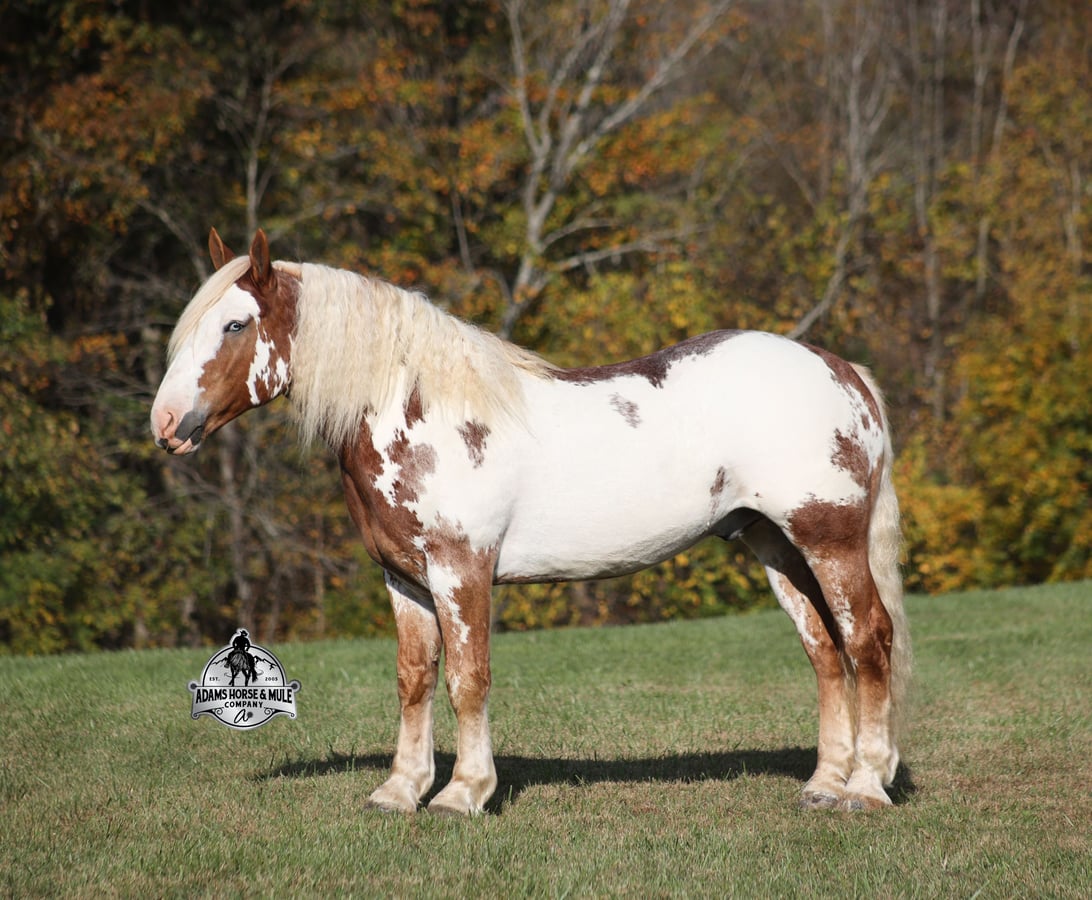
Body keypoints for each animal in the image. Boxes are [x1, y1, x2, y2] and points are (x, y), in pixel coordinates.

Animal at [151, 228, 910, 815]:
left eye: (235, 324)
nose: (165, 424)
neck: (422, 411)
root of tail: (840, 370)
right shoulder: (405, 581)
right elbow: (414, 680)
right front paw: (400, 792)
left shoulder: (461, 571)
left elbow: (468, 678)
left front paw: (463, 794)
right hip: (774, 544)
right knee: (824, 650)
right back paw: (824, 784)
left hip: (829, 538)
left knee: (868, 640)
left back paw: (867, 787)